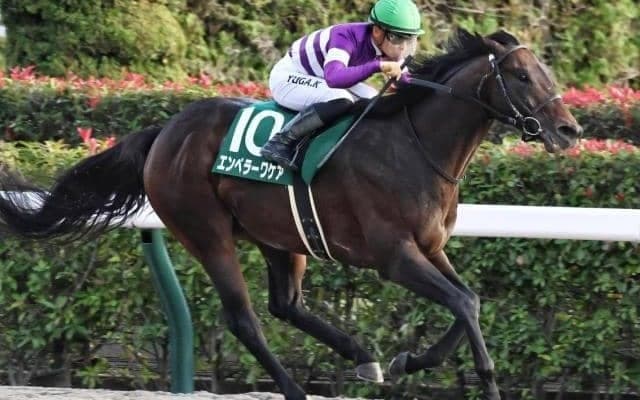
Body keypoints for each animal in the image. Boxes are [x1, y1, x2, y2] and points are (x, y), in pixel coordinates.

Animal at [0, 29, 581, 400]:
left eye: (545, 71)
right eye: (522, 76)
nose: (569, 130)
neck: (415, 146)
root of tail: (164, 132)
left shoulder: (430, 248)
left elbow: (471, 302)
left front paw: (406, 360)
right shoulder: (395, 257)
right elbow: (463, 303)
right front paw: (486, 379)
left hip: (280, 237)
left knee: (286, 305)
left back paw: (361, 355)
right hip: (206, 231)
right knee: (245, 319)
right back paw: (297, 389)